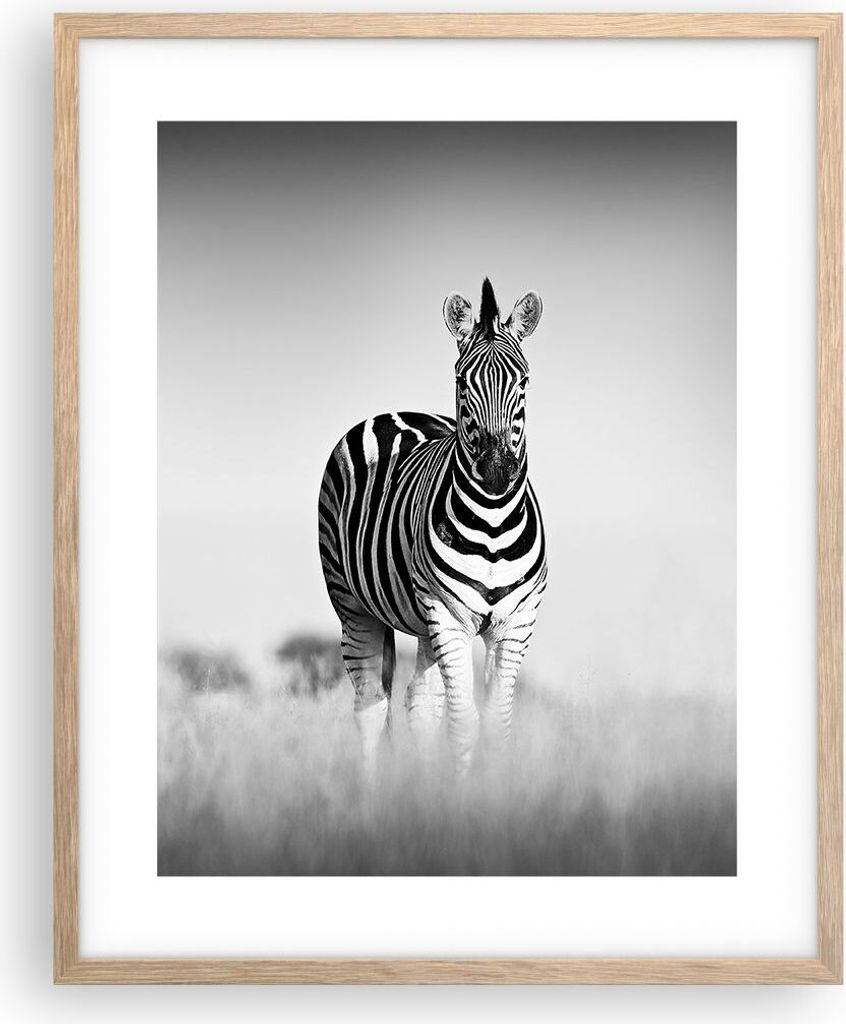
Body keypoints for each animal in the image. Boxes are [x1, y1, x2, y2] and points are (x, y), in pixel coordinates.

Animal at [317, 279, 547, 774]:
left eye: (523, 381)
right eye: (462, 381)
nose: (497, 472)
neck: (493, 523)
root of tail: (395, 412)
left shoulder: (515, 623)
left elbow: (496, 723)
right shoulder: (448, 615)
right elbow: (463, 722)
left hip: (423, 624)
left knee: (420, 703)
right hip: (353, 604)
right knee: (370, 704)